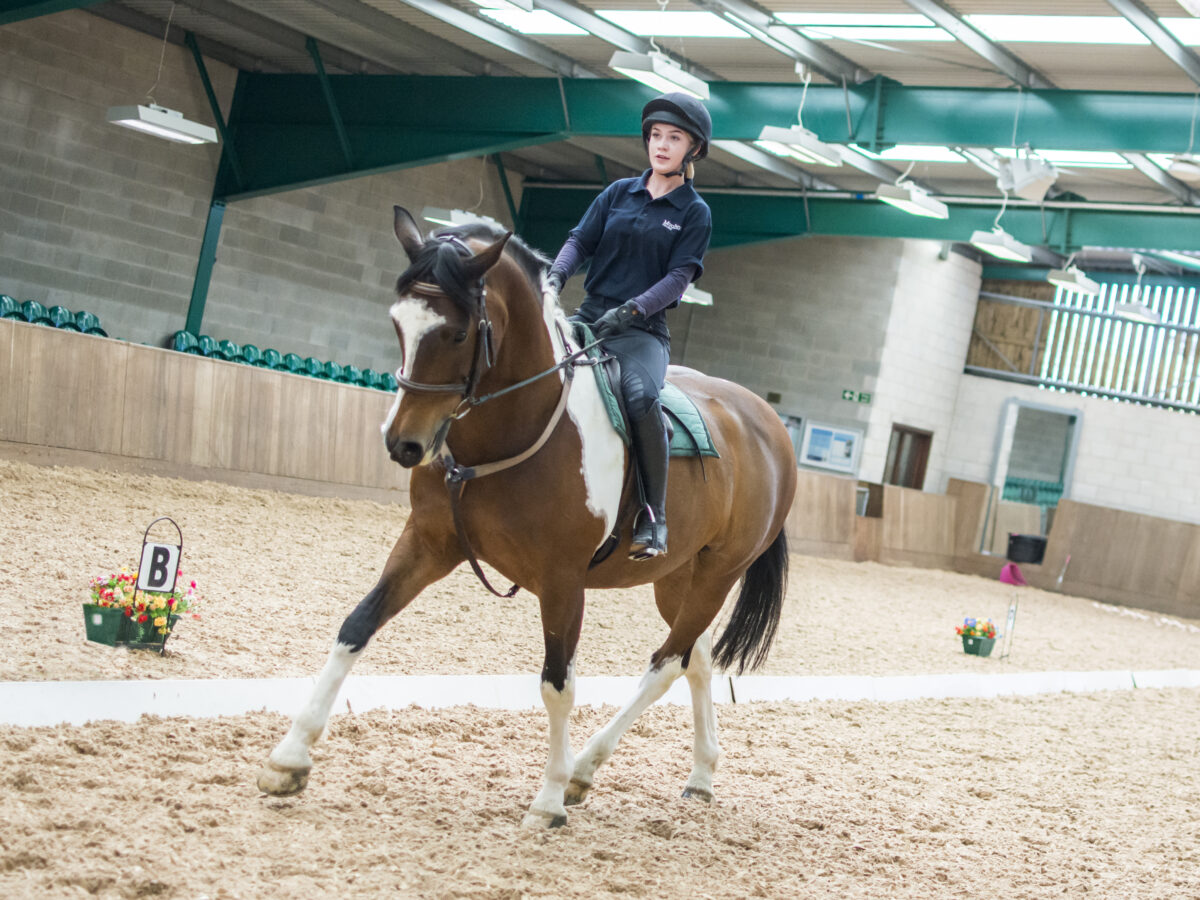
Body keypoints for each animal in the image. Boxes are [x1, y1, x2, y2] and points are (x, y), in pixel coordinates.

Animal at [255, 206, 796, 830]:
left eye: (458, 332)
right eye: (398, 323)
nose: (403, 444)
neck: (516, 427)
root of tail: (767, 422)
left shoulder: (563, 581)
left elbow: (557, 683)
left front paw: (548, 800)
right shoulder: (427, 543)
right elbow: (356, 627)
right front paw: (288, 758)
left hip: (717, 573)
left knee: (666, 662)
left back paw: (584, 769)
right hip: (674, 577)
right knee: (696, 659)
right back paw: (698, 775)